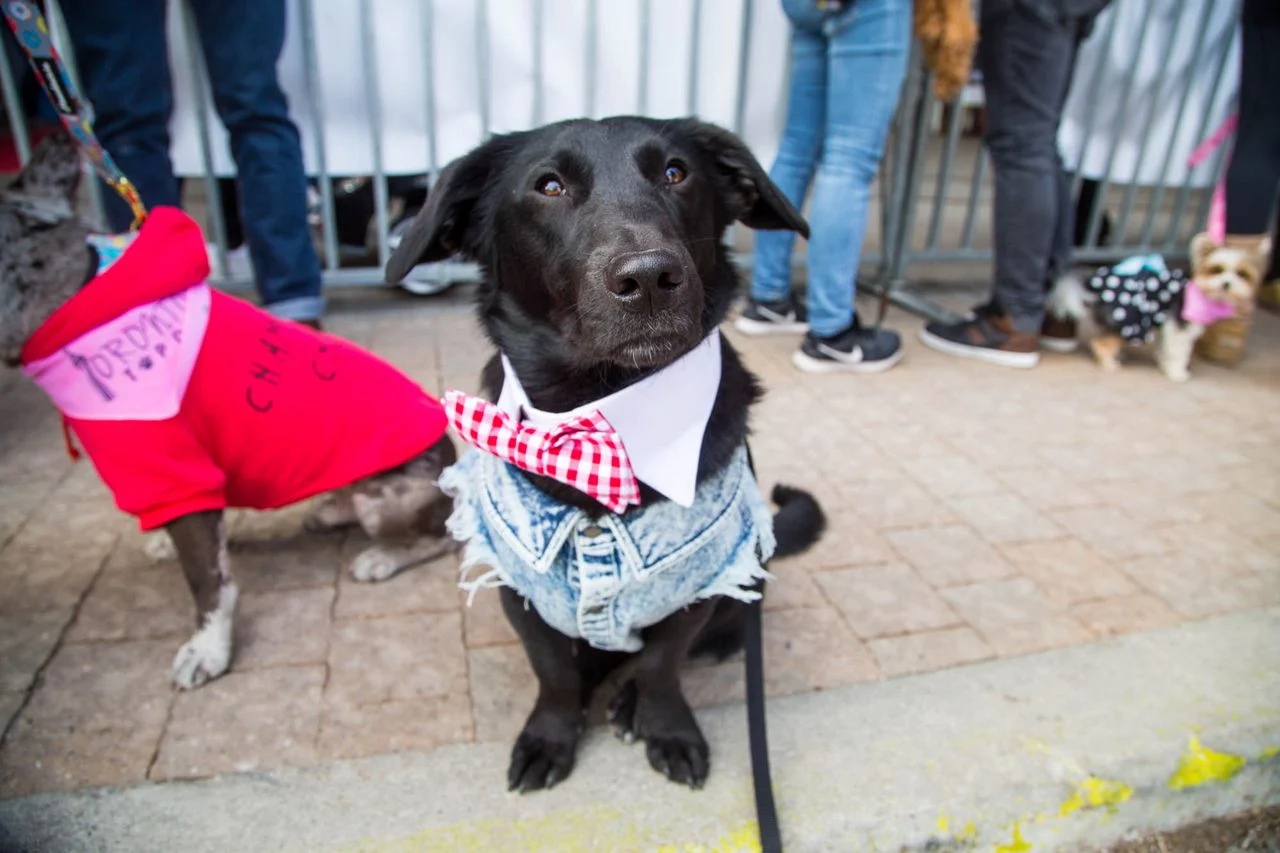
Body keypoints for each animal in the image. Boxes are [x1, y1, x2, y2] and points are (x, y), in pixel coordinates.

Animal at [1, 134, 455, 691]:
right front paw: (165, 546)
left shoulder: (177, 475)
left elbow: (209, 583)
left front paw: (207, 650)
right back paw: (329, 509)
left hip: (387, 499)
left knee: (441, 535)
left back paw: (384, 555)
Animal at [384, 114, 824, 788]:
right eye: (549, 185)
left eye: (676, 172)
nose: (648, 278)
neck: (599, 415)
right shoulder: (520, 581)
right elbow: (554, 672)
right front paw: (550, 735)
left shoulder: (698, 580)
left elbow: (663, 665)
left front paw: (666, 727)